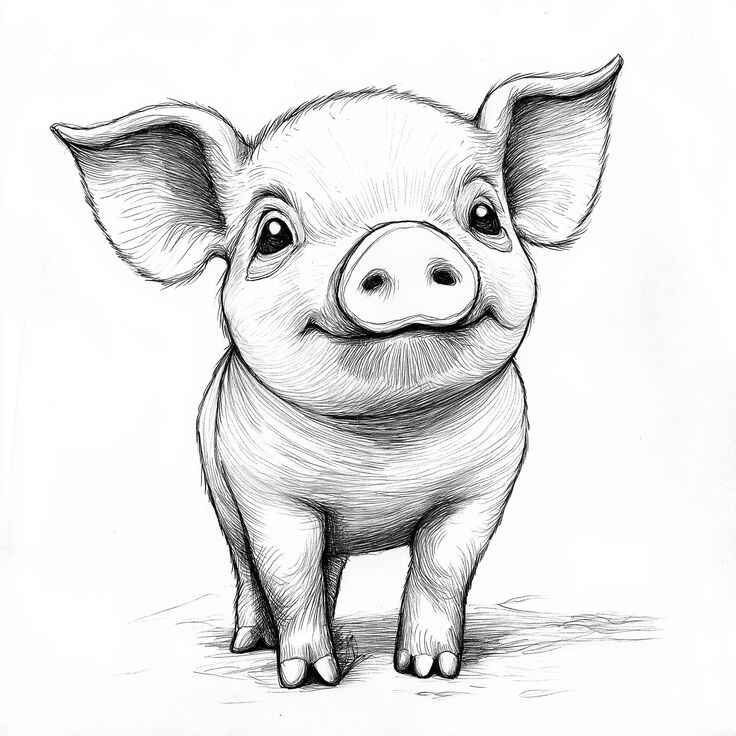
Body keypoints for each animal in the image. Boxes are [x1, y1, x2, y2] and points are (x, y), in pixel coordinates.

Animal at [52, 55, 621, 688]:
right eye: (272, 233)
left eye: (485, 217)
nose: (402, 242)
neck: (384, 440)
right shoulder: (268, 494)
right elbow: (286, 571)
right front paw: (310, 679)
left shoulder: (484, 487)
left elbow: (443, 569)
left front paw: (428, 671)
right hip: (217, 483)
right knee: (248, 567)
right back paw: (251, 643)